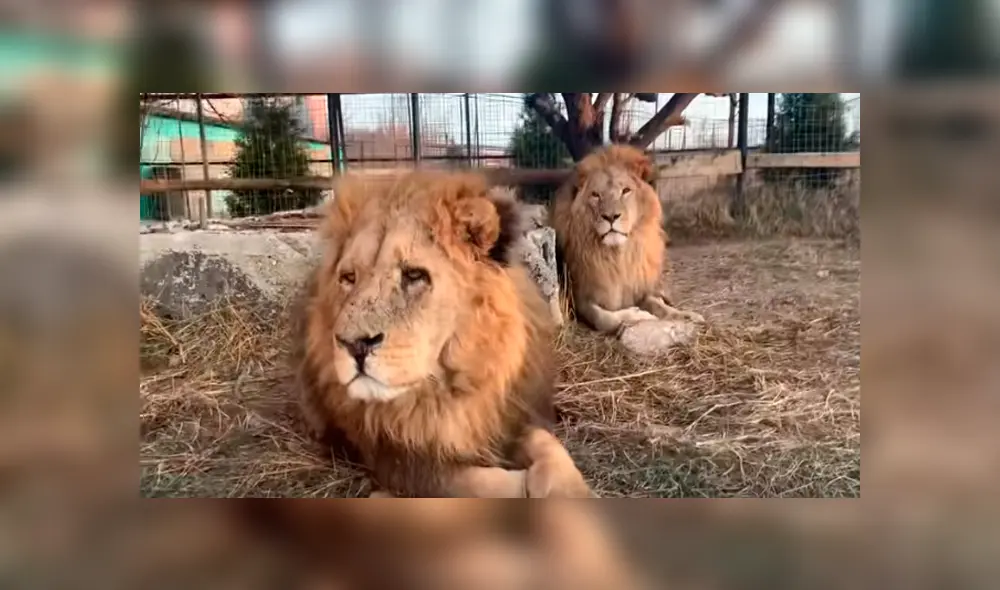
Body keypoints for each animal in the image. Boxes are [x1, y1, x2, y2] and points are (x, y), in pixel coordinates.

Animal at [294, 169, 593, 498]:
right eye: (348, 278)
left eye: (414, 275)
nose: (353, 345)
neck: (452, 389)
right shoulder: (402, 463)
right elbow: (483, 485)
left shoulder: (512, 418)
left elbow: (548, 445)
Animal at [550, 144, 704, 334]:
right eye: (596, 195)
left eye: (625, 191)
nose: (610, 217)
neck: (618, 257)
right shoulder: (579, 299)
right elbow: (604, 318)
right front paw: (640, 315)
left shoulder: (637, 286)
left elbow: (658, 305)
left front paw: (686, 316)